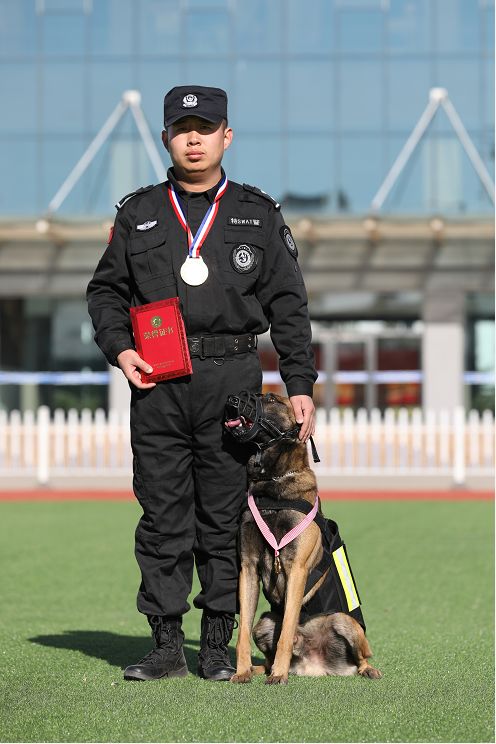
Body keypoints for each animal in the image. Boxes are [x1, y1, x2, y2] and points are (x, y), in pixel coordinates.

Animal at [223, 392, 382, 684]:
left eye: (272, 399)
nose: (232, 398)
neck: (273, 487)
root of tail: (316, 665)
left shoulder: (296, 570)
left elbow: (286, 631)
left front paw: (279, 675)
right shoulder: (248, 569)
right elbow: (242, 634)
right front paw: (241, 672)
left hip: (344, 621)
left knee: (362, 657)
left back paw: (366, 669)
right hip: (264, 621)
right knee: (266, 649)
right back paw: (263, 668)